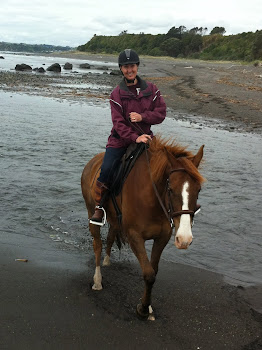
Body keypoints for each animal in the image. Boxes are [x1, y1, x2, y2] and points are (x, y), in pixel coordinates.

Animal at [80, 136, 205, 320]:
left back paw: (107, 260)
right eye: (170, 188)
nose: (184, 239)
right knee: (97, 244)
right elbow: (148, 273)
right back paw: (97, 280)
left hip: (115, 221)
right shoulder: (134, 236)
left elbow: (153, 271)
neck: (152, 198)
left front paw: (148, 306)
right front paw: (144, 308)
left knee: (110, 238)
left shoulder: (162, 237)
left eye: (199, 189)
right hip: (91, 211)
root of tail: (92, 162)